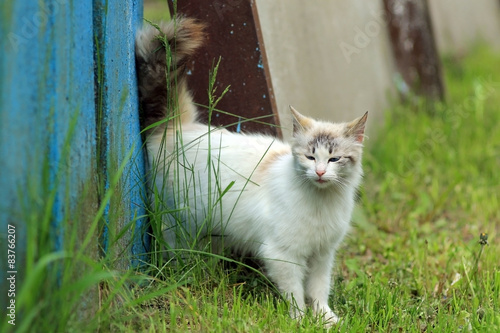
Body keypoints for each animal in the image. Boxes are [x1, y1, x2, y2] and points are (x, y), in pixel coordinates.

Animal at [136, 14, 368, 324]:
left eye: (333, 160)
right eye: (309, 157)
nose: (319, 173)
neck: (322, 203)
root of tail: (178, 126)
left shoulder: (322, 254)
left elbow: (319, 290)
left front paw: (326, 319)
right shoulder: (282, 255)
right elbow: (296, 294)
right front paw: (299, 321)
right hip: (178, 223)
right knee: (177, 251)